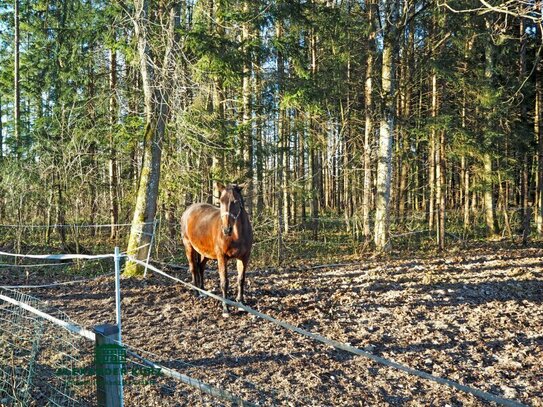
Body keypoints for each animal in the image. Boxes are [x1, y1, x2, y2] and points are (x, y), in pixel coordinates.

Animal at [181, 183, 253, 318]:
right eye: (221, 201)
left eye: (235, 201)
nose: (226, 229)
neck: (236, 235)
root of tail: (188, 211)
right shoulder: (222, 257)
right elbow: (224, 282)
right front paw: (225, 309)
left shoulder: (244, 257)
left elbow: (241, 279)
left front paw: (241, 303)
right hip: (189, 246)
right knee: (193, 268)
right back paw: (196, 292)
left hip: (205, 253)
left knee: (200, 267)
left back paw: (203, 291)